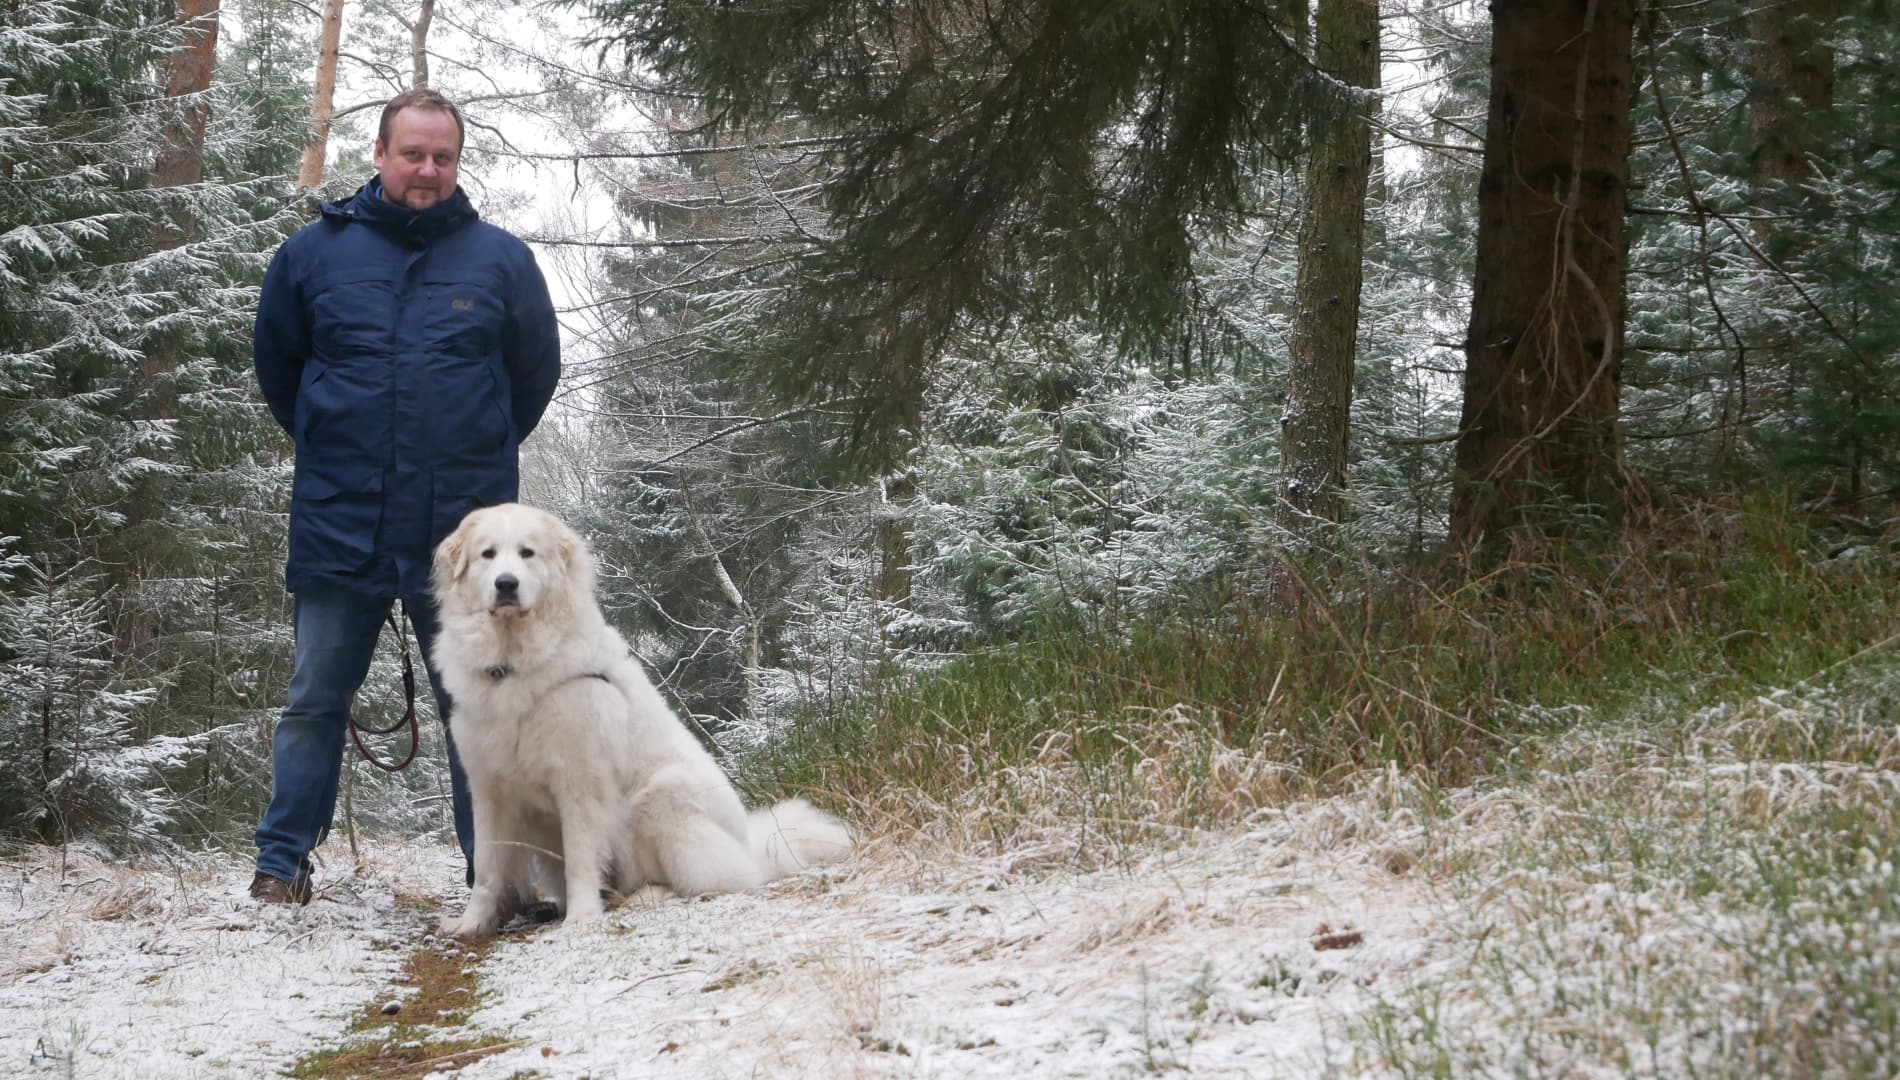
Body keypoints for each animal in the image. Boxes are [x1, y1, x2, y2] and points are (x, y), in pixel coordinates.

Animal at [431, 501, 855, 931]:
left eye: (527, 553)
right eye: (488, 554)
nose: (506, 584)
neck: (514, 663)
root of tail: (751, 845)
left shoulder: (580, 782)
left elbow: (580, 858)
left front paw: (581, 918)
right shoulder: (490, 789)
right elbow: (487, 869)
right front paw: (470, 925)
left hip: (663, 794)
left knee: (716, 880)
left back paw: (646, 896)